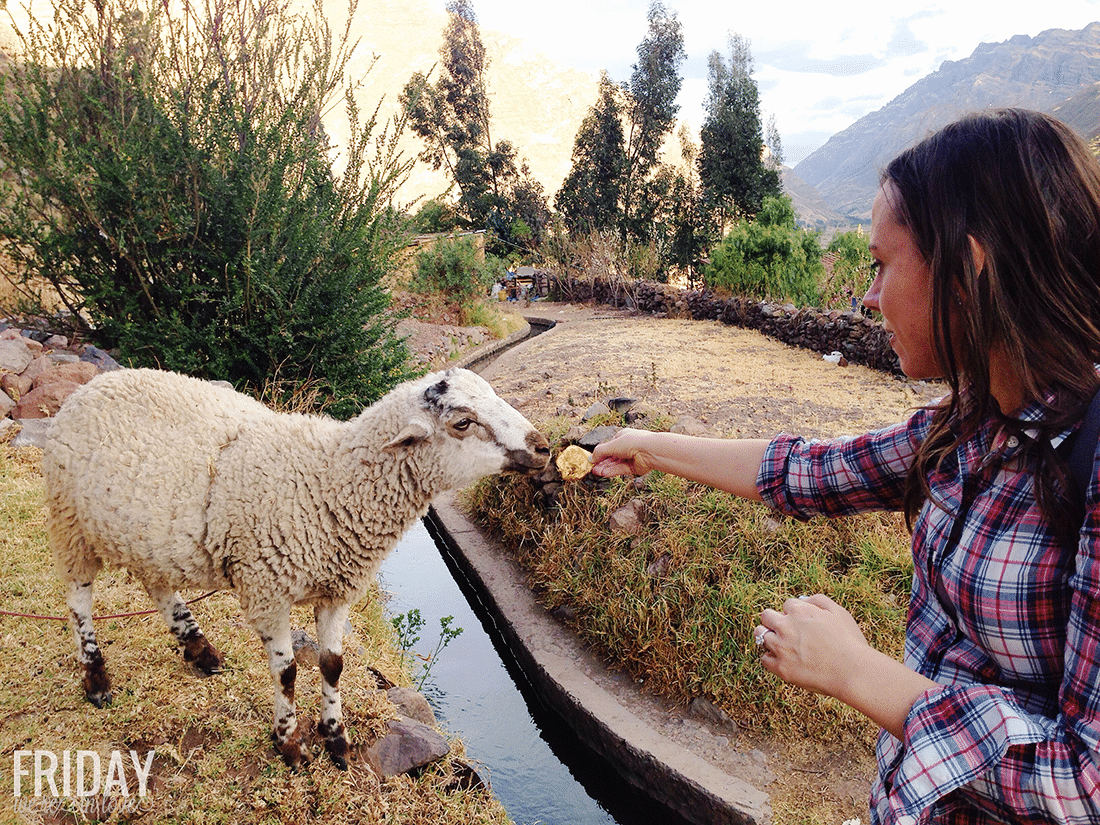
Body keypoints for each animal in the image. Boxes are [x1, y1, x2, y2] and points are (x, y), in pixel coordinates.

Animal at [42, 367, 550, 770]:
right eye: (463, 423)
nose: (543, 447)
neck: (328, 482)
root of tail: (94, 384)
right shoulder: (266, 590)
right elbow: (287, 674)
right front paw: (289, 745)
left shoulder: (339, 590)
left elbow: (333, 666)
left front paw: (337, 741)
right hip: (70, 522)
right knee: (78, 599)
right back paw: (96, 678)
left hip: (146, 536)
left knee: (157, 585)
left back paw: (200, 650)